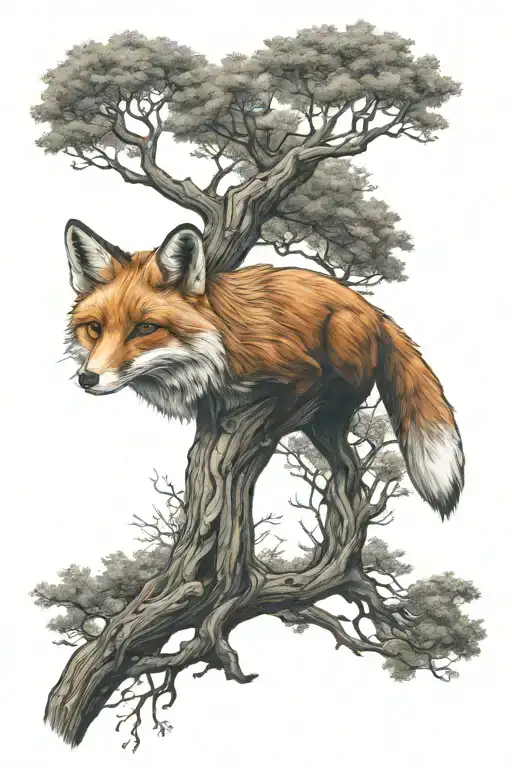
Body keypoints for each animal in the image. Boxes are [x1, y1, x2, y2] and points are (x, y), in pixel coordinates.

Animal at [64, 219, 464, 520]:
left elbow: (281, 406)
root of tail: (375, 312)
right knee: (348, 465)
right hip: (325, 428)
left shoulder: (296, 366)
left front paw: (262, 428)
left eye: (146, 328)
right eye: (95, 328)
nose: (88, 378)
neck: (218, 349)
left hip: (340, 336)